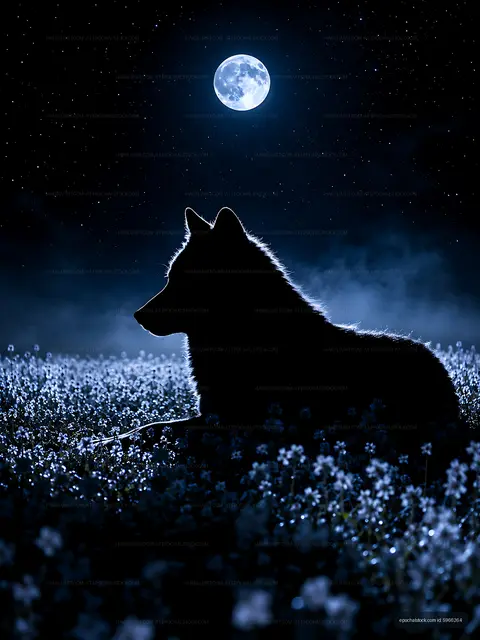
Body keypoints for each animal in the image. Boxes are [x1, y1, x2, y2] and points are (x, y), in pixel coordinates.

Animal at [128, 206, 460, 463]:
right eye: (169, 277)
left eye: (183, 281)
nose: (138, 316)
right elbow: (149, 426)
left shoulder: (234, 421)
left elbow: (155, 429)